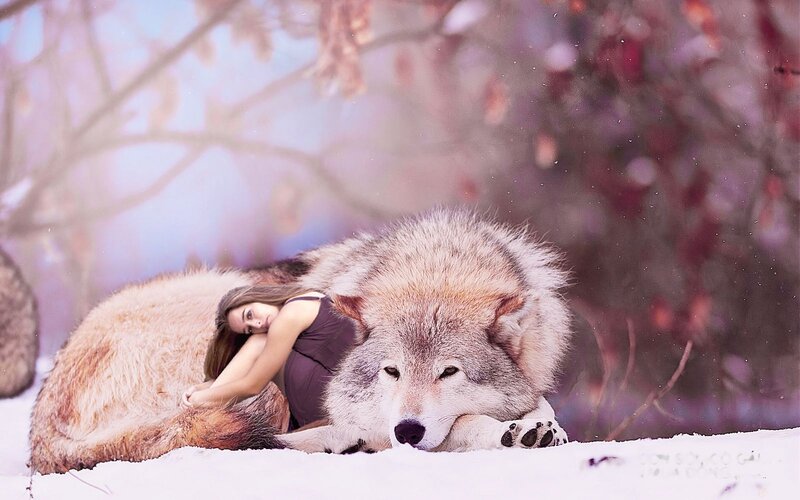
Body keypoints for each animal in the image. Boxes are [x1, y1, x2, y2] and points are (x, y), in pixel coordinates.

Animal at [30, 209, 570, 473]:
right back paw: (342, 443)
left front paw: (538, 425)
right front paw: (509, 432)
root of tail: (41, 424)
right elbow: (459, 426)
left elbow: (537, 401)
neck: (436, 268)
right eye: (391, 371)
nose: (407, 430)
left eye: (449, 372)